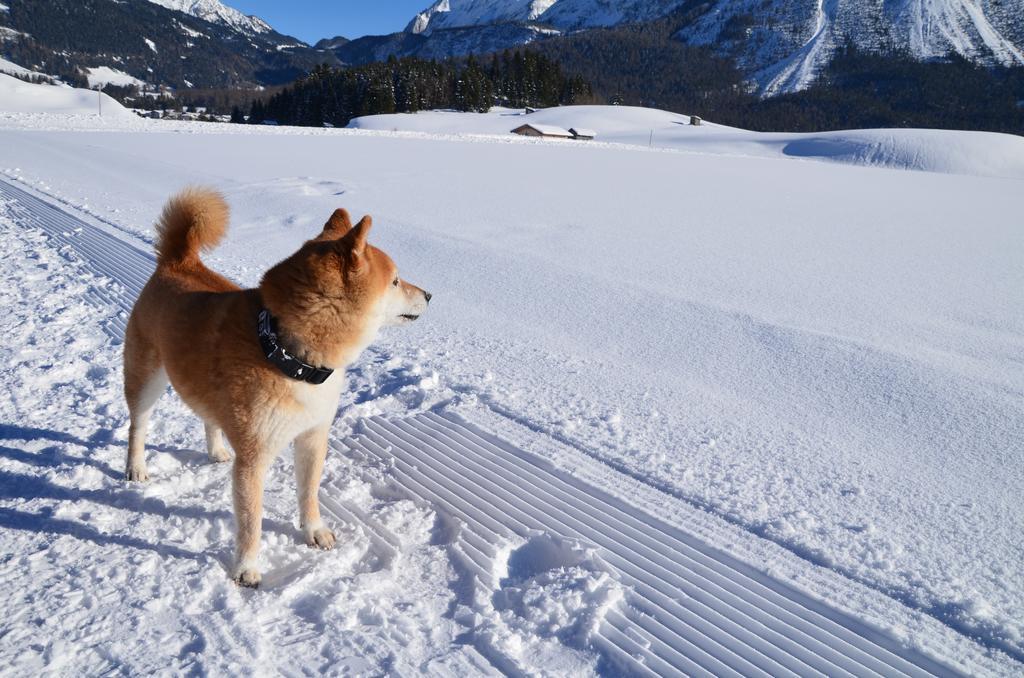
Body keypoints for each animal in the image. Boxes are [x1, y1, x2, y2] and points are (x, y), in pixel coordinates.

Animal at [121, 188, 430, 585]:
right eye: (395, 281)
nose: (429, 295)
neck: (285, 352)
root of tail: (177, 262)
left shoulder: (313, 437)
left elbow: (309, 493)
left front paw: (314, 531)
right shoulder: (254, 458)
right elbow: (251, 520)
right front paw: (247, 568)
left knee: (209, 416)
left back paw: (216, 450)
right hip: (147, 379)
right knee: (138, 425)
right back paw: (136, 466)